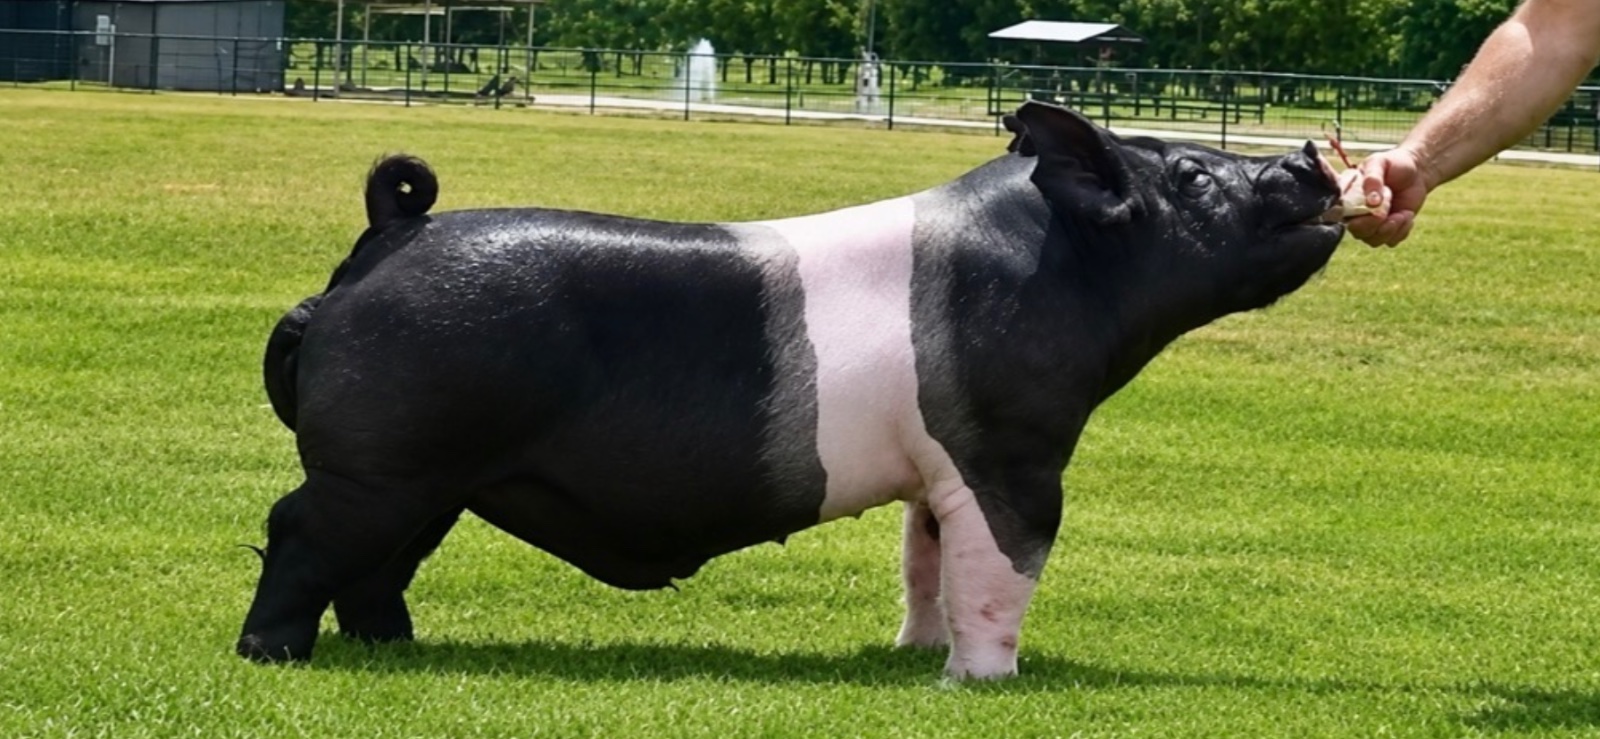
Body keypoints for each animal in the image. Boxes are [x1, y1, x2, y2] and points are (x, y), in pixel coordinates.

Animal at [237, 101, 1346, 679]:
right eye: (1193, 178)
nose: (1308, 155)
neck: (1062, 267)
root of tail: (388, 238)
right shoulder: (1011, 451)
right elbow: (1005, 562)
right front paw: (983, 680)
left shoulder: (936, 469)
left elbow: (925, 560)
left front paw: (909, 652)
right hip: (379, 462)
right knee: (299, 527)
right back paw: (272, 654)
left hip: (435, 477)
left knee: (380, 564)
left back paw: (398, 645)